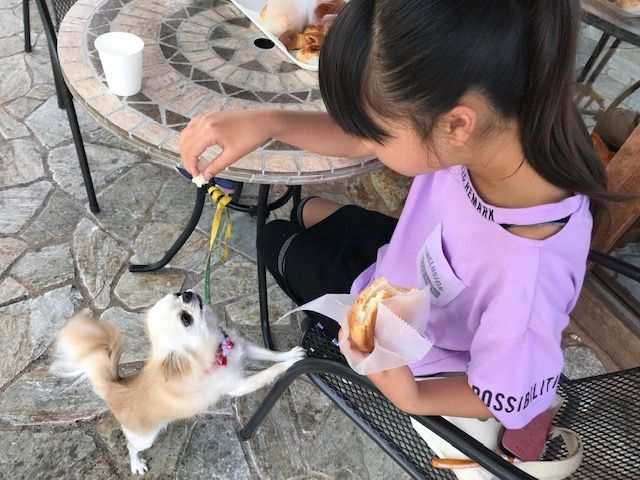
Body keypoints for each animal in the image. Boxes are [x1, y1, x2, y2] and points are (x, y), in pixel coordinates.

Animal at [51, 290, 305, 475]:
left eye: (178, 293)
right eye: (186, 319)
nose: (187, 294)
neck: (214, 348)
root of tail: (114, 387)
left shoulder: (242, 347)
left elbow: (271, 355)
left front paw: (291, 353)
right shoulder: (238, 386)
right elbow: (270, 370)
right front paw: (291, 364)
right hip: (145, 437)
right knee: (131, 447)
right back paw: (136, 464)